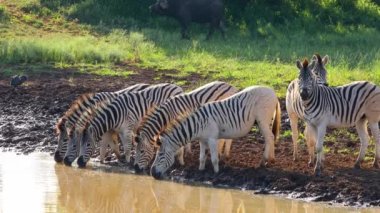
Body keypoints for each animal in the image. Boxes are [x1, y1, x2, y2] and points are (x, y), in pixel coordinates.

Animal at [150, 85, 280, 179]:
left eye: (160, 155)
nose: (152, 174)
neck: (197, 123)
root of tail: (272, 91)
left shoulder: (212, 138)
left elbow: (214, 158)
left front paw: (216, 173)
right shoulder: (202, 140)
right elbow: (202, 157)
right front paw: (201, 171)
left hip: (262, 119)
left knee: (269, 137)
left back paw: (263, 162)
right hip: (266, 121)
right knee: (271, 137)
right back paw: (271, 159)